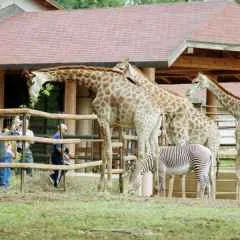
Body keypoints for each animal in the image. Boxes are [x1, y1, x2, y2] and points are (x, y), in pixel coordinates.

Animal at [25, 65, 162, 195]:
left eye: (32, 82)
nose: (31, 99)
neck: (97, 82)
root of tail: (159, 112)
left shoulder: (104, 118)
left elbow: (108, 151)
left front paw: (108, 186)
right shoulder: (109, 122)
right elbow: (103, 152)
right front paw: (100, 187)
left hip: (142, 126)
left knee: (143, 152)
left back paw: (131, 187)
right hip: (154, 130)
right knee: (155, 152)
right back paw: (156, 190)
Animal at [113, 61, 220, 199]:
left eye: (120, 68)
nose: (110, 72)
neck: (171, 108)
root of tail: (217, 129)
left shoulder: (182, 138)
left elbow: (181, 172)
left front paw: (181, 196)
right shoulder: (173, 139)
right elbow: (172, 169)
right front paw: (166, 194)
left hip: (213, 145)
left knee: (211, 172)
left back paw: (209, 197)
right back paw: (207, 196)